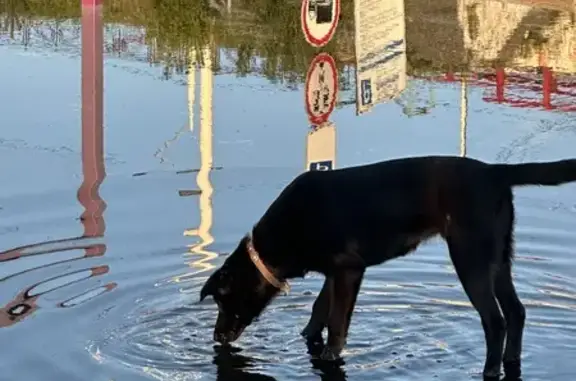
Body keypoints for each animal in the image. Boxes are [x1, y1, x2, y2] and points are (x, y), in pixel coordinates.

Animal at [200, 155, 576, 380]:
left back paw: (488, 370)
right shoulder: (334, 273)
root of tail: (495, 172)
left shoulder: (349, 271)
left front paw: (330, 356)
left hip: (470, 258)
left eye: (221, 299)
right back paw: (511, 361)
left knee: (495, 321)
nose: (216, 338)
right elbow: (318, 312)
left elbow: (336, 324)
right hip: (499, 257)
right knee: (517, 311)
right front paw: (307, 338)